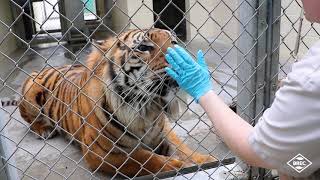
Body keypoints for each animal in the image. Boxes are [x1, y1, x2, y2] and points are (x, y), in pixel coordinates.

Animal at [18, 28, 218, 177]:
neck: (146, 109)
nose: (179, 55)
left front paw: (205, 160)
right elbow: (145, 159)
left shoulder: (164, 130)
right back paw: (44, 130)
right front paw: (178, 165)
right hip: (30, 90)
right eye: (144, 47)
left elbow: (182, 147)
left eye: (174, 42)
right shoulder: (101, 151)